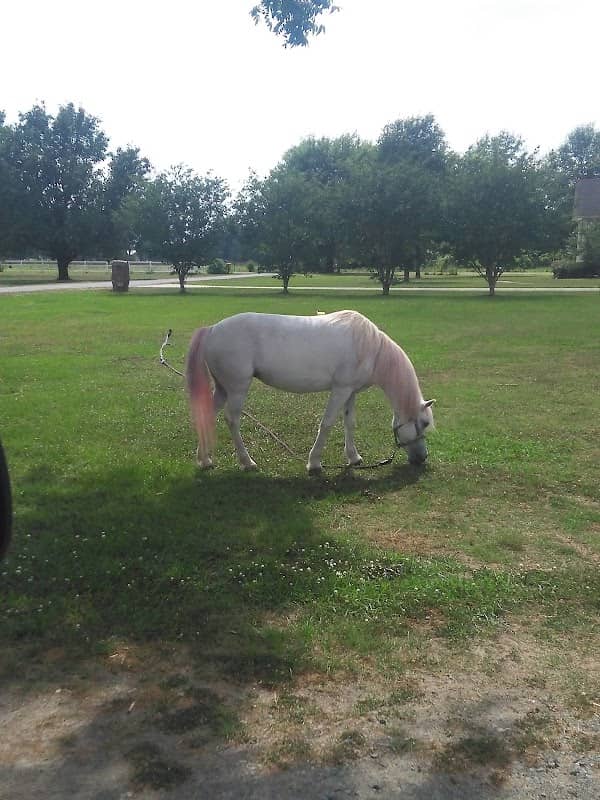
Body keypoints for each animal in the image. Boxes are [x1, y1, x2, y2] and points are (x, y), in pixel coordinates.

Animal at [185, 310, 435, 473]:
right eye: (423, 423)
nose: (422, 458)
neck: (370, 348)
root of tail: (212, 330)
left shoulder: (350, 392)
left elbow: (349, 423)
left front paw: (354, 457)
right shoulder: (340, 390)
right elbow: (327, 423)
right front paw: (314, 463)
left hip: (223, 389)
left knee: (208, 414)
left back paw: (205, 460)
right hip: (237, 388)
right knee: (232, 420)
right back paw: (247, 462)